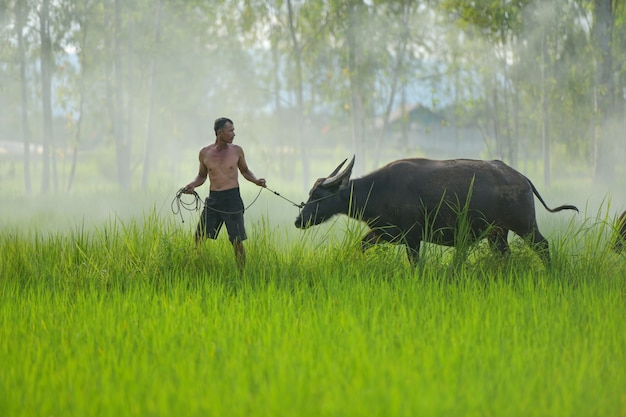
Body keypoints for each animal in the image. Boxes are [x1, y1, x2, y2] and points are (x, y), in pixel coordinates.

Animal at [294, 156, 576, 264]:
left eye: (317, 195)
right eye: (310, 193)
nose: (299, 220)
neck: (378, 190)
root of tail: (522, 178)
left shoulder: (412, 237)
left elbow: (415, 263)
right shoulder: (383, 233)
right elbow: (361, 245)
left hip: (525, 226)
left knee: (543, 246)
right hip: (497, 234)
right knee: (505, 255)